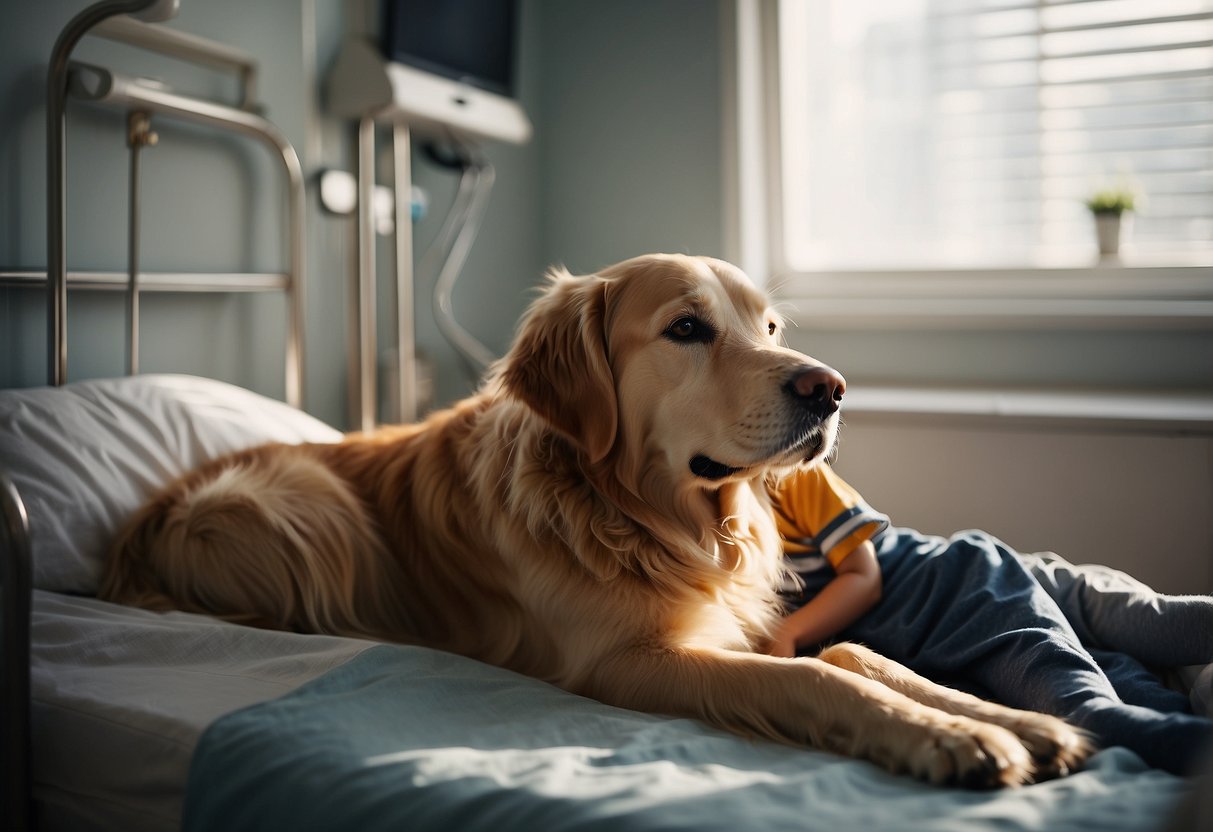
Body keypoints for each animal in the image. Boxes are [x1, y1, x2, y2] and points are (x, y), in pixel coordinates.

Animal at [101, 254, 1091, 790]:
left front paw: (1013, 719)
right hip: (290, 506)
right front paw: (956, 739)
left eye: (769, 327)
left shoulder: (740, 627)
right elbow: (815, 680)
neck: (645, 515)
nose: (830, 389)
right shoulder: (624, 663)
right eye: (687, 329)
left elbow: (854, 653)